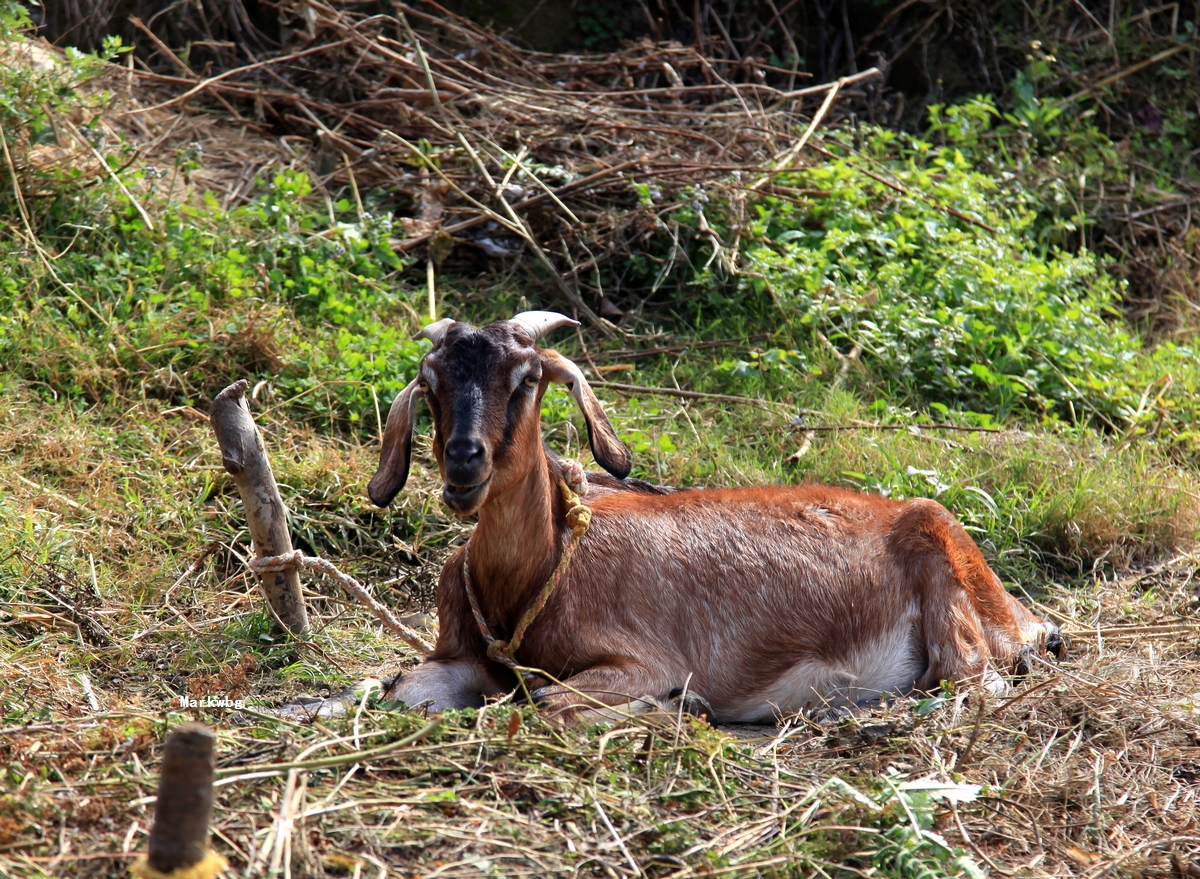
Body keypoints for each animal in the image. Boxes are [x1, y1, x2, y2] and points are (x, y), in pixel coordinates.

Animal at [364, 312, 1060, 725]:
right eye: (430, 383)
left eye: (527, 378)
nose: (464, 461)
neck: (536, 571)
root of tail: (1024, 614)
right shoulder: (458, 655)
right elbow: (399, 691)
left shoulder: (642, 660)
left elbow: (545, 700)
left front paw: (676, 703)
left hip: (949, 584)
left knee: (975, 684)